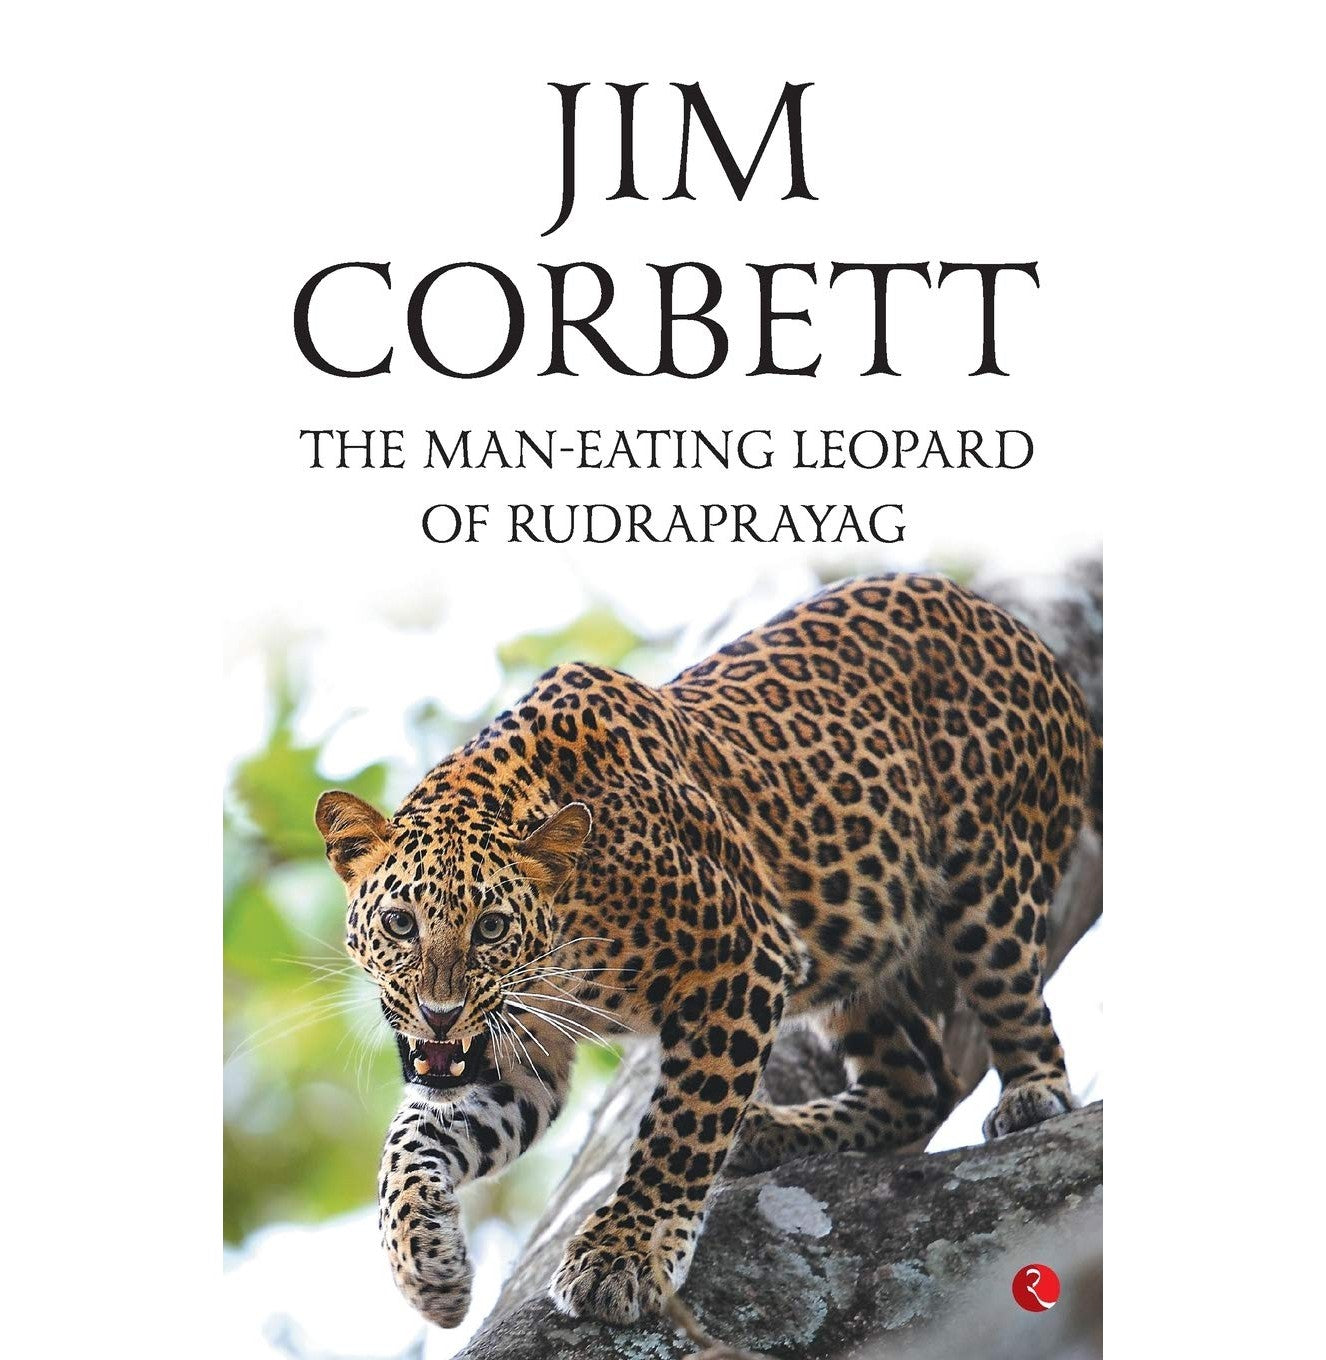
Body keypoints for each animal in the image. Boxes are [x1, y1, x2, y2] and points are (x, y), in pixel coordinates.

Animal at [315, 573, 1102, 1329]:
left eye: (491, 929)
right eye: (400, 923)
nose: (439, 1014)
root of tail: (1021, 633)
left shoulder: (742, 957)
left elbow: (682, 1124)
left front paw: (623, 1253)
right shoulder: (519, 1051)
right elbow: (410, 1141)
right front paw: (425, 1265)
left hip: (989, 884)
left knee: (1014, 1009)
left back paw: (1030, 1094)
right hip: (859, 948)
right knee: (921, 1082)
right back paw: (776, 1131)